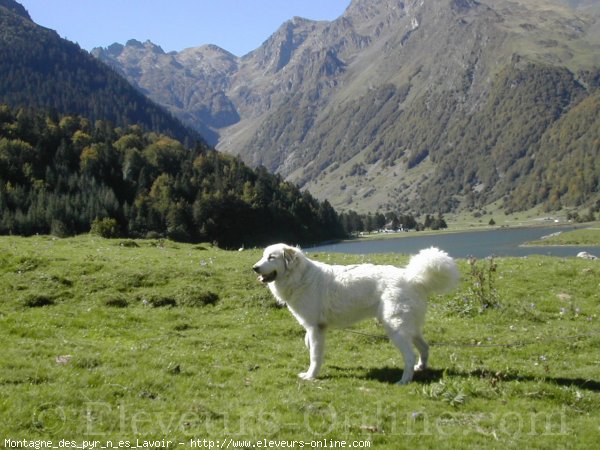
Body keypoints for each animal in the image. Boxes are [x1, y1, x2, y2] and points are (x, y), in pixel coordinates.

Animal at [253, 244, 460, 384]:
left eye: (271, 257)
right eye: (263, 256)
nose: (254, 268)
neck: (300, 277)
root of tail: (414, 278)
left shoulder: (315, 328)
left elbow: (315, 355)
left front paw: (311, 376)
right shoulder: (313, 328)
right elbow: (309, 345)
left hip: (396, 328)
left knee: (409, 355)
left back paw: (404, 381)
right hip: (410, 326)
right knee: (424, 347)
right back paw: (421, 367)